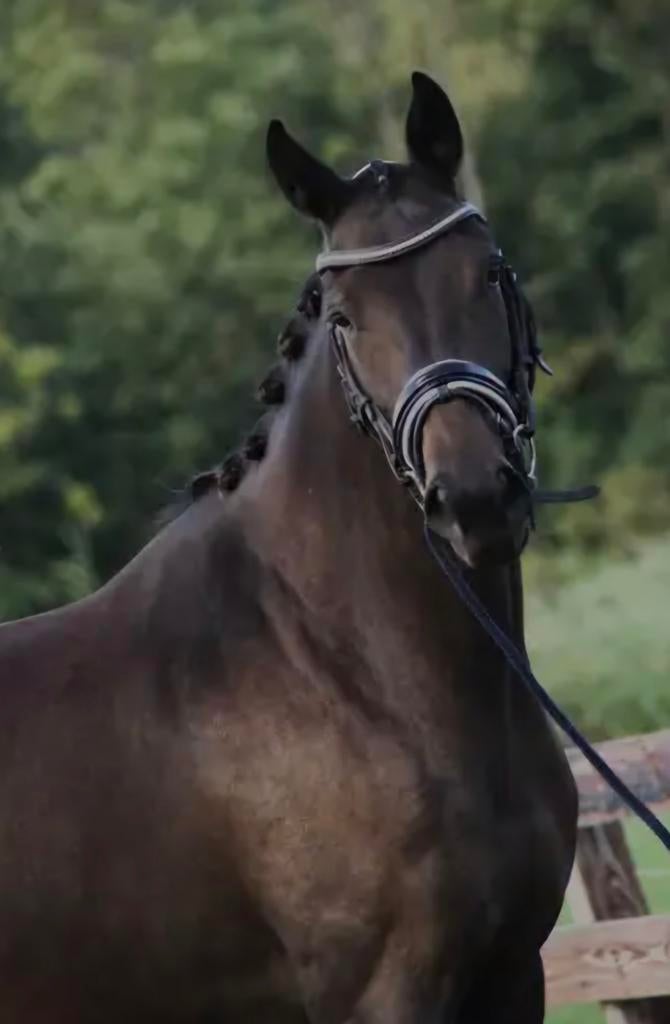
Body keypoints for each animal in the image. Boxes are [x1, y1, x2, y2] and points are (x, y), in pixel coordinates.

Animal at [0, 72, 577, 1023]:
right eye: (345, 317)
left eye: (489, 271)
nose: (474, 500)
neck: (336, 670)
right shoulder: (383, 995)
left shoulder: (512, 976)